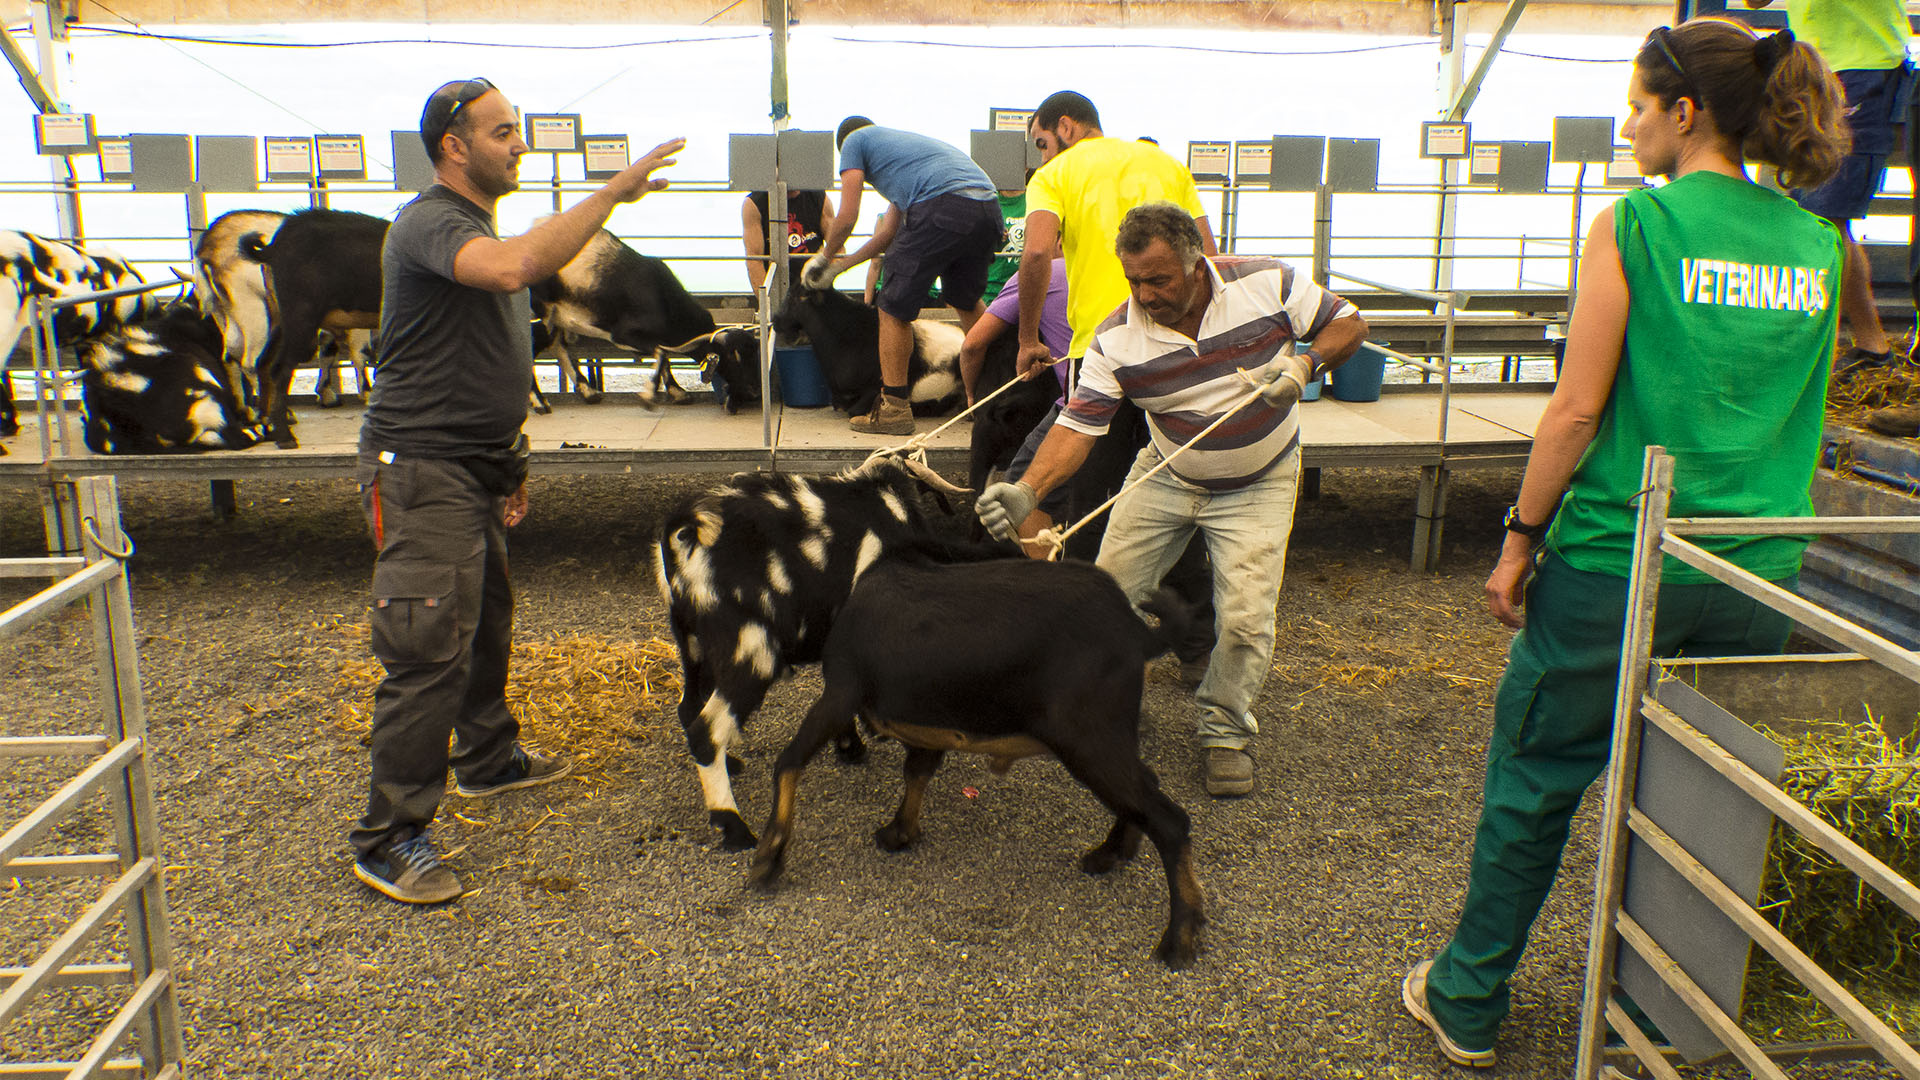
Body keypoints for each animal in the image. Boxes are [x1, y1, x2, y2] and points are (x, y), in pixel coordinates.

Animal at [652, 449, 998, 845]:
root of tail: (685, 537)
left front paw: (849, 745)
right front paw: (856, 744)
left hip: (694, 648)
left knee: (688, 708)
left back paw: (731, 765)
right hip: (752, 653)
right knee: (705, 733)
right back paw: (733, 826)